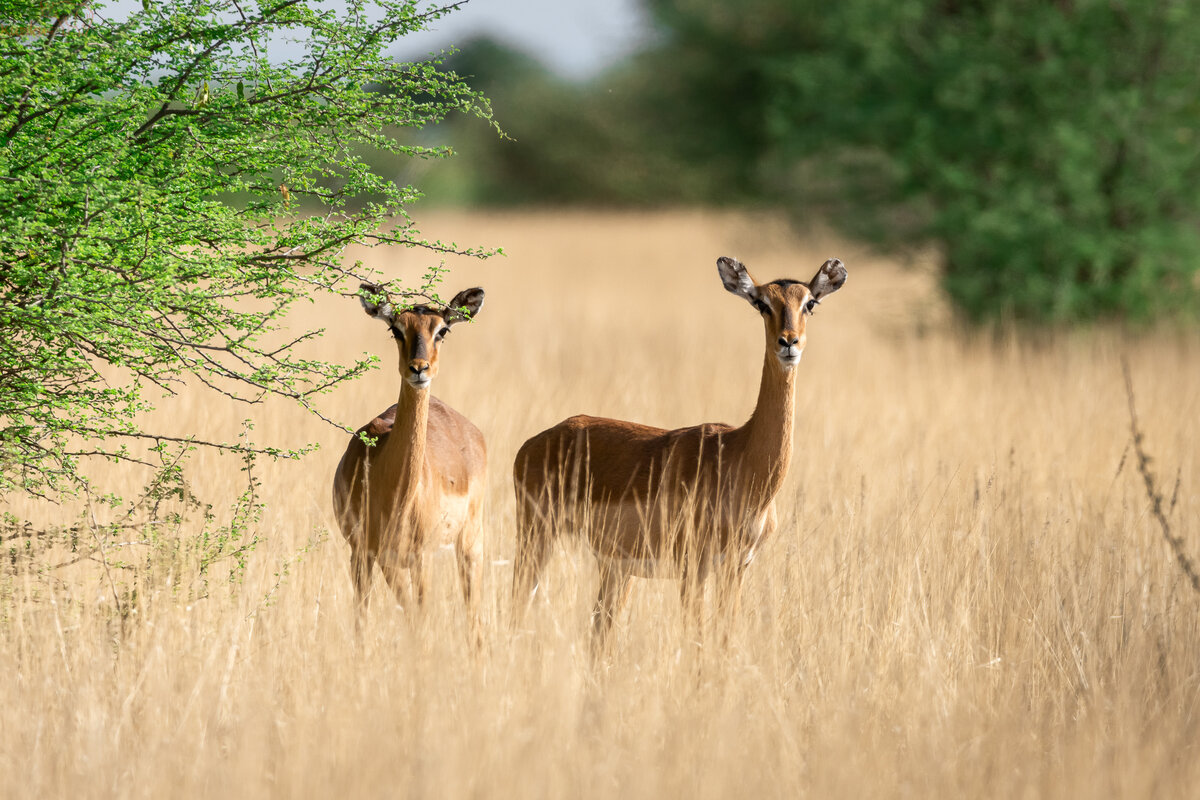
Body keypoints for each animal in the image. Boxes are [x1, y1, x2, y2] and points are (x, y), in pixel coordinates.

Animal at [332, 282, 487, 643]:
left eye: (442, 330)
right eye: (395, 329)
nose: (419, 369)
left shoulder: (421, 557)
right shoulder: (363, 554)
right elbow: (363, 623)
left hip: (469, 544)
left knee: (474, 620)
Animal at [512, 256, 847, 640]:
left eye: (810, 303)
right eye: (762, 303)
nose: (788, 342)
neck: (740, 457)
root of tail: (532, 444)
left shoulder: (736, 569)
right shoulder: (693, 568)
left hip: (614, 568)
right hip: (538, 540)